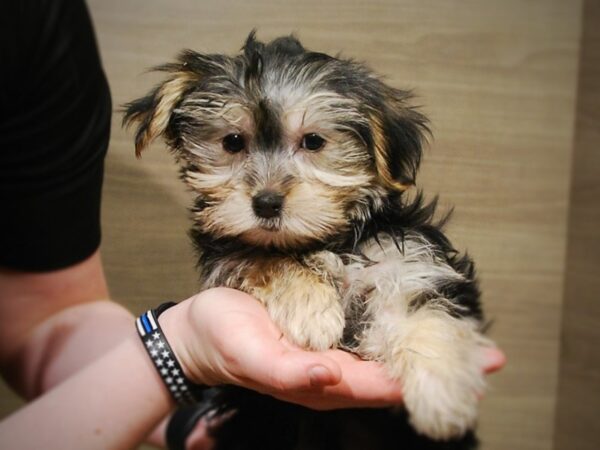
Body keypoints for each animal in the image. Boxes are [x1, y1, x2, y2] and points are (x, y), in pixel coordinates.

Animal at [125, 32, 492, 450]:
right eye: (232, 142)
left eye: (313, 141)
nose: (266, 203)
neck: (325, 237)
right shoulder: (227, 251)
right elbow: (262, 257)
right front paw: (312, 308)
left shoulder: (407, 261)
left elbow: (421, 313)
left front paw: (441, 396)